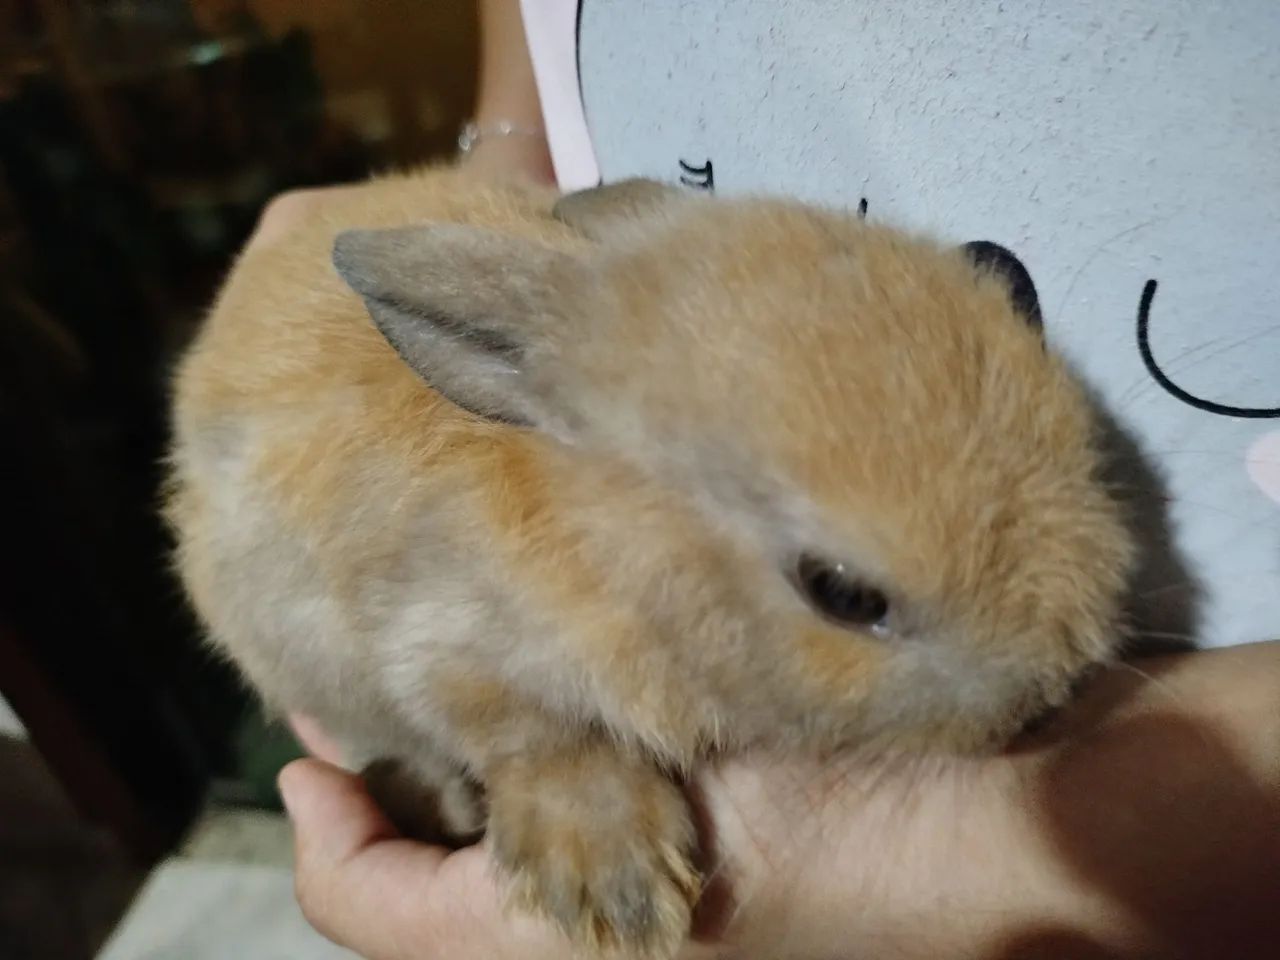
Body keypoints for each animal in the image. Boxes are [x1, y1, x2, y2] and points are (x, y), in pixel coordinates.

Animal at [165, 166, 1135, 958]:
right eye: (843, 594)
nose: (1048, 693)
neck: (608, 533)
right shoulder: (444, 649)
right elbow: (540, 737)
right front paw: (612, 889)